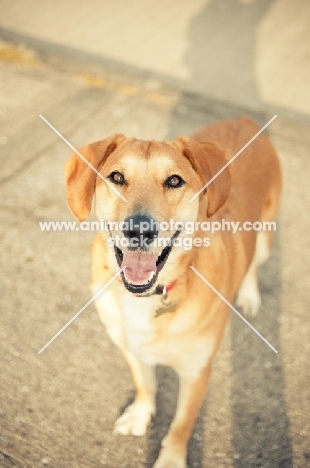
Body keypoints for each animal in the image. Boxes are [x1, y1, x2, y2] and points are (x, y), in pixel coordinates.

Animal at [63, 115, 280, 466]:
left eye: (175, 181)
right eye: (117, 177)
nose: (139, 230)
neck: (150, 296)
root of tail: (244, 118)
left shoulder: (196, 373)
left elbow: (181, 424)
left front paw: (171, 459)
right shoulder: (131, 348)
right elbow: (145, 385)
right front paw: (140, 416)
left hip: (264, 237)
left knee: (254, 266)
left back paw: (248, 296)